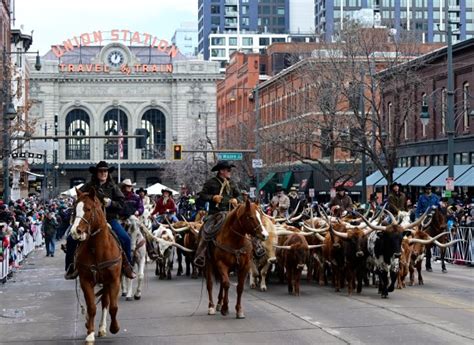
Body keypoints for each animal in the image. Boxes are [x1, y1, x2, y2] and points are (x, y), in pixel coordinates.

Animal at [71, 189, 122, 342]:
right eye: (74, 209)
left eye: (88, 209)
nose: (75, 231)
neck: (97, 249)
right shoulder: (85, 280)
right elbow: (92, 306)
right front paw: (90, 333)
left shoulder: (114, 280)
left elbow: (113, 307)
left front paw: (114, 327)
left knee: (105, 301)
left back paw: (103, 328)